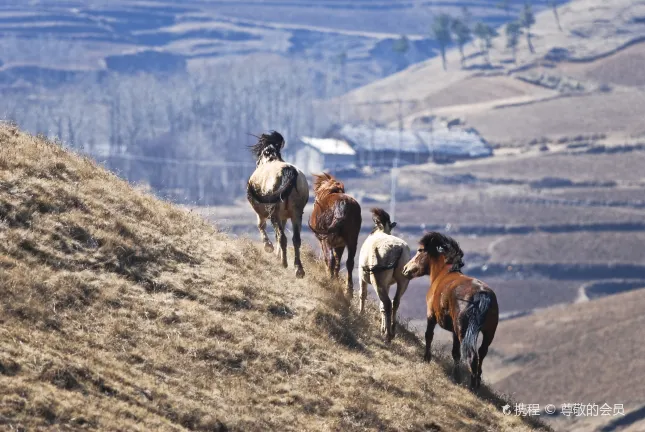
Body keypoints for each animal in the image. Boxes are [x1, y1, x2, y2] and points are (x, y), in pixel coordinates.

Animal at [245, 130, 308, 278]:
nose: (257, 163)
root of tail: (288, 171)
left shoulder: (262, 212)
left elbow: (261, 226)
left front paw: (268, 247)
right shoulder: (285, 216)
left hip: (274, 212)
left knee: (282, 237)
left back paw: (284, 263)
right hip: (297, 214)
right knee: (295, 239)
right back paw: (298, 269)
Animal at [360, 208, 410, 342]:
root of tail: (397, 248)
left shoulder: (362, 278)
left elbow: (363, 295)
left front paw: (361, 314)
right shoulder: (387, 285)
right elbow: (381, 307)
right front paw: (383, 328)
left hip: (378, 281)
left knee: (388, 303)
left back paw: (388, 335)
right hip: (403, 281)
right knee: (395, 302)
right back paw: (391, 331)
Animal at [402, 231, 498, 390]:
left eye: (420, 251)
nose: (405, 269)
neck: (444, 273)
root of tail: (482, 294)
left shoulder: (431, 316)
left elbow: (429, 336)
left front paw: (426, 358)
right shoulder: (454, 331)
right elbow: (455, 353)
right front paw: (456, 375)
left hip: (465, 332)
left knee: (473, 357)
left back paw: (472, 387)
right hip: (488, 333)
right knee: (481, 353)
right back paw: (477, 382)